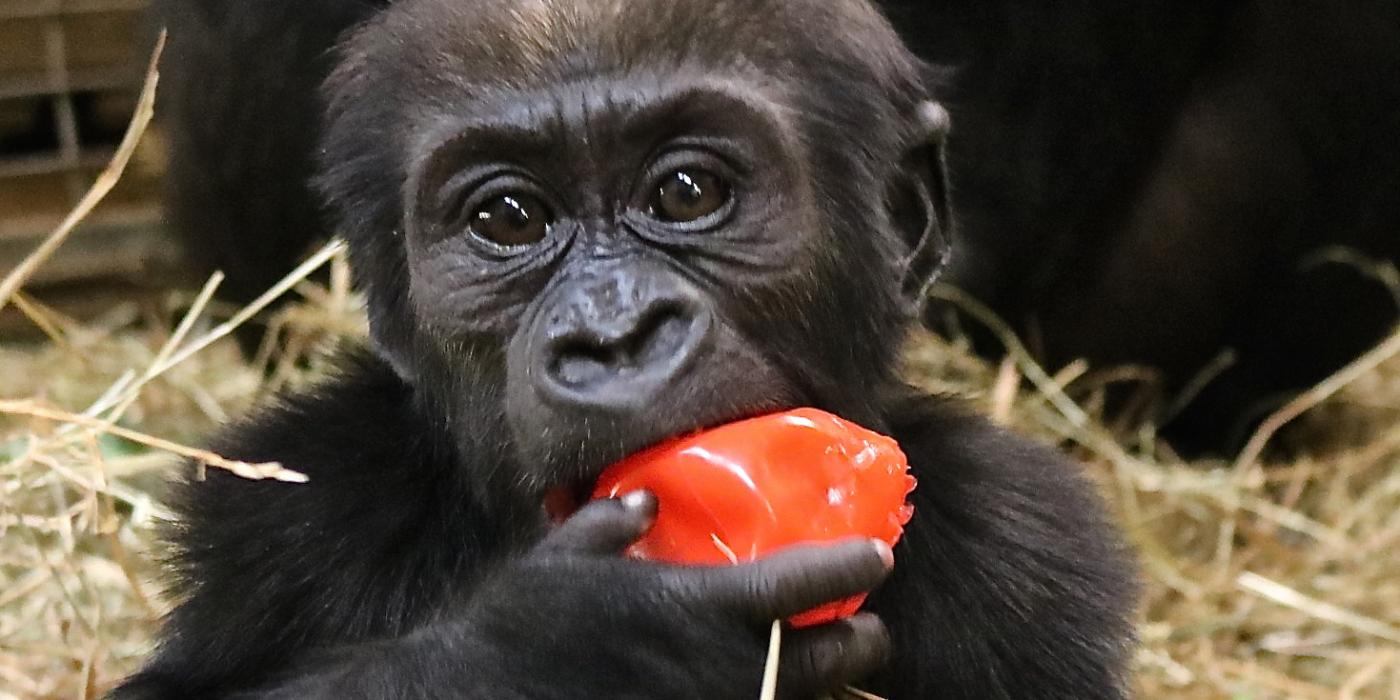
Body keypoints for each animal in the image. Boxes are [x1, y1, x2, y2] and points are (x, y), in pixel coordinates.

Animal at [112, 2, 1136, 697]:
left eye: (687, 192)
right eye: (509, 218)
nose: (612, 335)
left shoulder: (1027, 552)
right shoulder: (284, 504)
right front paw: (586, 643)